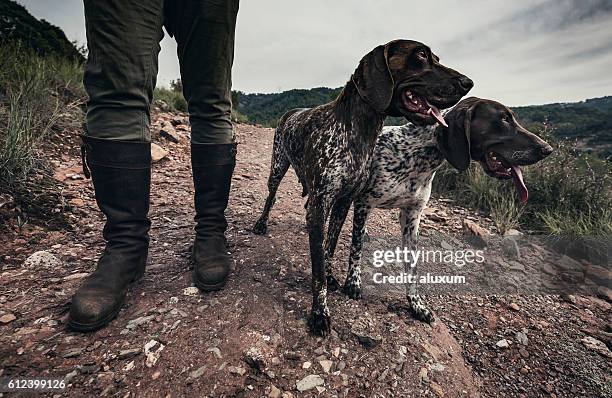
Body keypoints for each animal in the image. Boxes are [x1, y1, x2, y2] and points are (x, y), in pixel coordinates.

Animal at [253, 39, 474, 336]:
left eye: (436, 57)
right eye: (420, 55)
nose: (468, 82)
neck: (357, 131)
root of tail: (291, 112)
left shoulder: (343, 202)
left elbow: (329, 247)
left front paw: (331, 276)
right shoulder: (325, 202)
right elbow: (319, 269)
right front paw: (319, 312)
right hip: (277, 167)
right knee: (271, 197)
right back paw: (261, 224)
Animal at [340, 98, 556, 322]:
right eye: (504, 119)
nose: (547, 149)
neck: (418, 155)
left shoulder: (412, 216)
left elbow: (412, 266)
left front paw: (416, 304)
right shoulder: (364, 203)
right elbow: (356, 248)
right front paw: (353, 282)